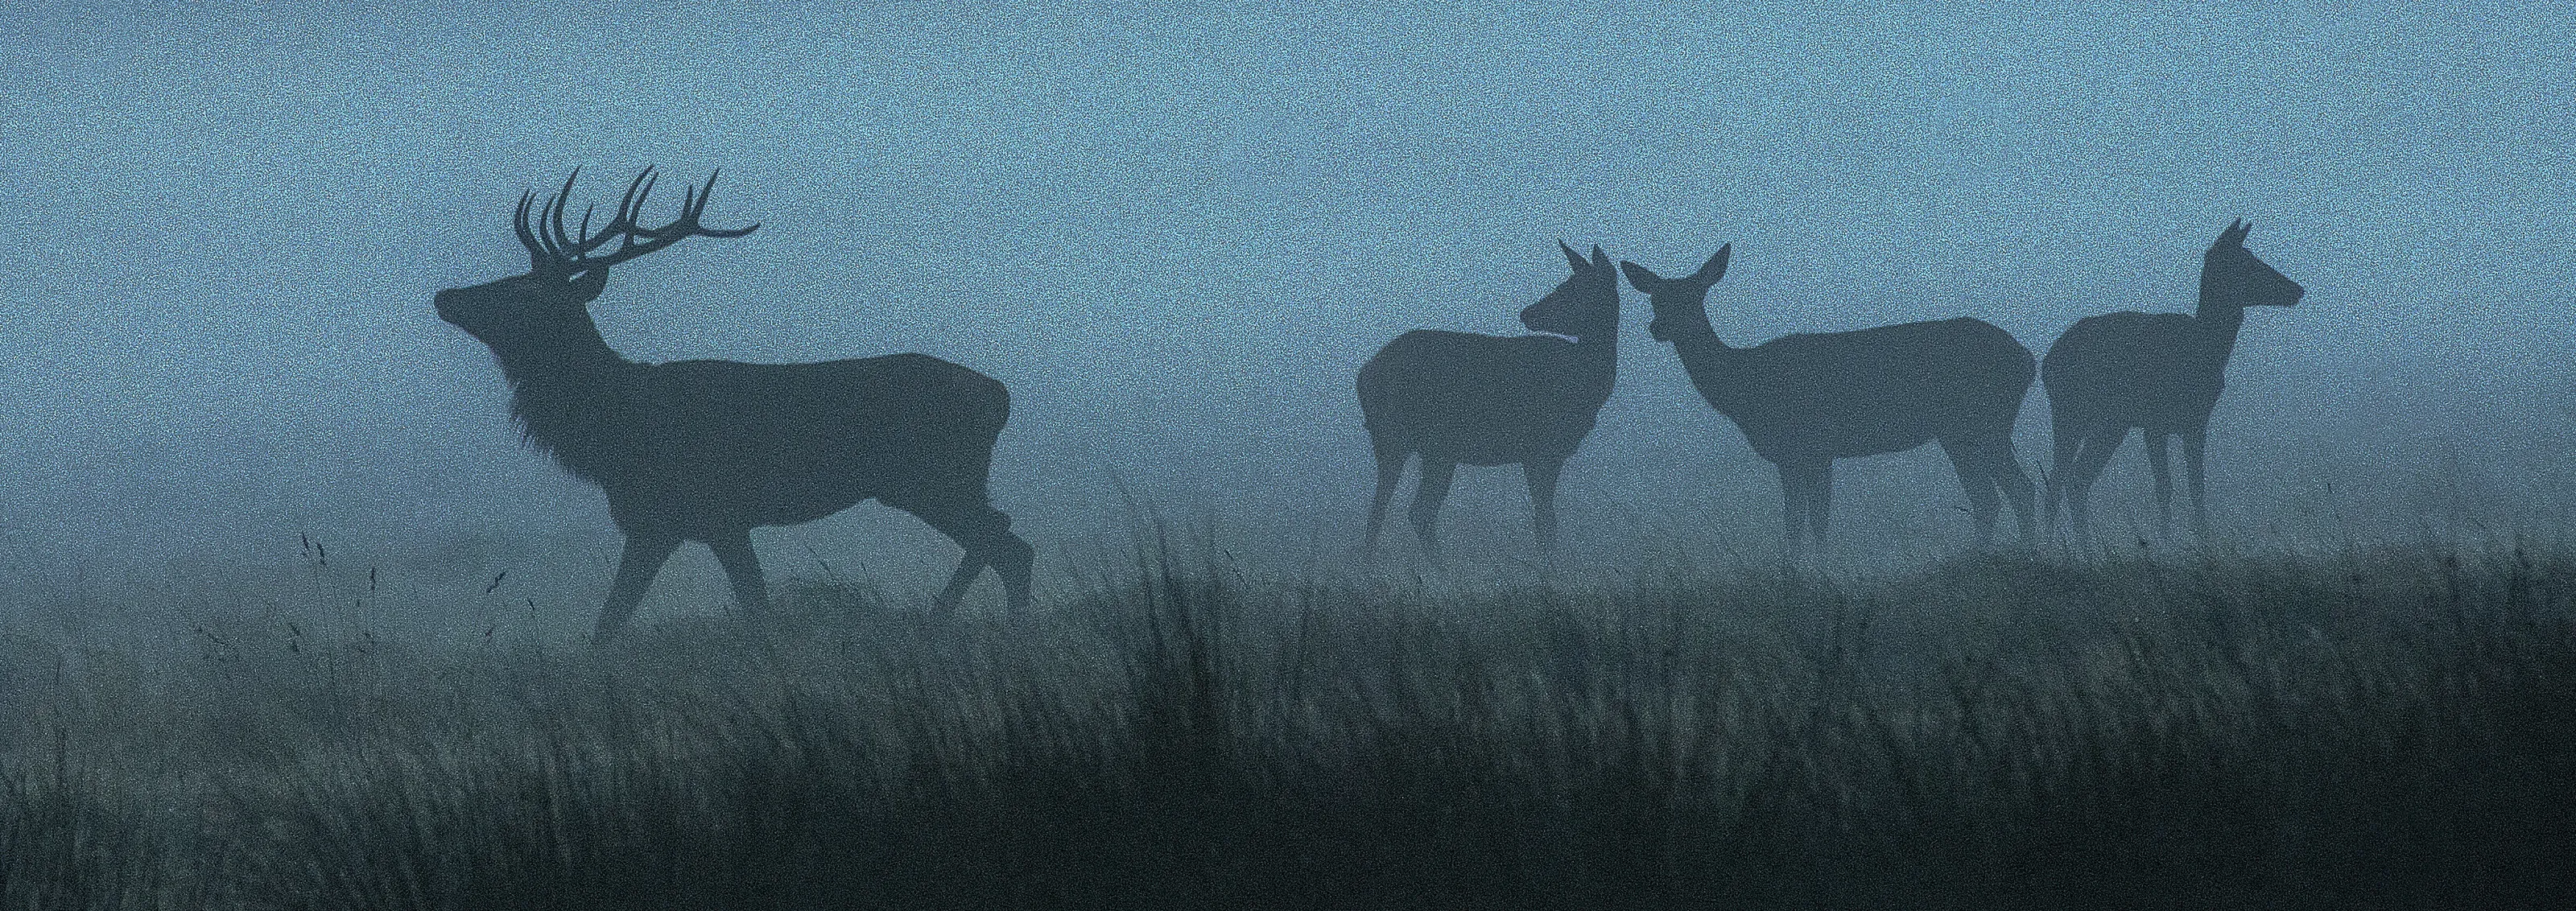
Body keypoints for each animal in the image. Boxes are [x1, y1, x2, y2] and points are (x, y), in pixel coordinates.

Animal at [434, 167, 1034, 637]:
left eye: (523, 293)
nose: (445, 295)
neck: (615, 428)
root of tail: (1000, 396)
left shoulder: (710, 514)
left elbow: (742, 609)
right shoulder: (662, 523)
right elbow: (616, 618)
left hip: (932, 478)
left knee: (1007, 545)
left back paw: (956, 622)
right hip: (944, 481)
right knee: (1005, 540)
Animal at [1356, 242, 1622, 566]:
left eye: (1575, 289)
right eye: (1565, 286)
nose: (1527, 313)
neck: (1587, 383)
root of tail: (1364, 376)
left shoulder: (1549, 452)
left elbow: (1546, 519)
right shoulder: (1539, 447)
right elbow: (1545, 521)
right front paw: (1550, 568)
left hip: (1431, 449)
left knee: (1411, 510)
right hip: (1403, 435)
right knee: (1395, 509)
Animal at [1620, 245, 2038, 556]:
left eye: (1694, 297)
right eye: (1656, 299)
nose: (1658, 327)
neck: (1745, 386)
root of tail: (2027, 359)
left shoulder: (1806, 446)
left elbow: (1805, 523)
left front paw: (1809, 575)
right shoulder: (1807, 453)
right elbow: (1808, 522)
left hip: (1984, 421)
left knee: (2018, 489)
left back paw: (2026, 554)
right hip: (1960, 433)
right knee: (1990, 497)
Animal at [2039, 219, 2304, 539]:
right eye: (2246, 262)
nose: (2297, 290)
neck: (2204, 351)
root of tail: (2048, 362)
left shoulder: (2197, 422)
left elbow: (2197, 487)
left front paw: (2203, 540)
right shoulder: (2154, 421)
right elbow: (2164, 488)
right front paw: (2166, 542)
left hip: (2101, 421)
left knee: (2071, 478)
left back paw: (2068, 542)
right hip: (2080, 414)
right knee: (2065, 479)